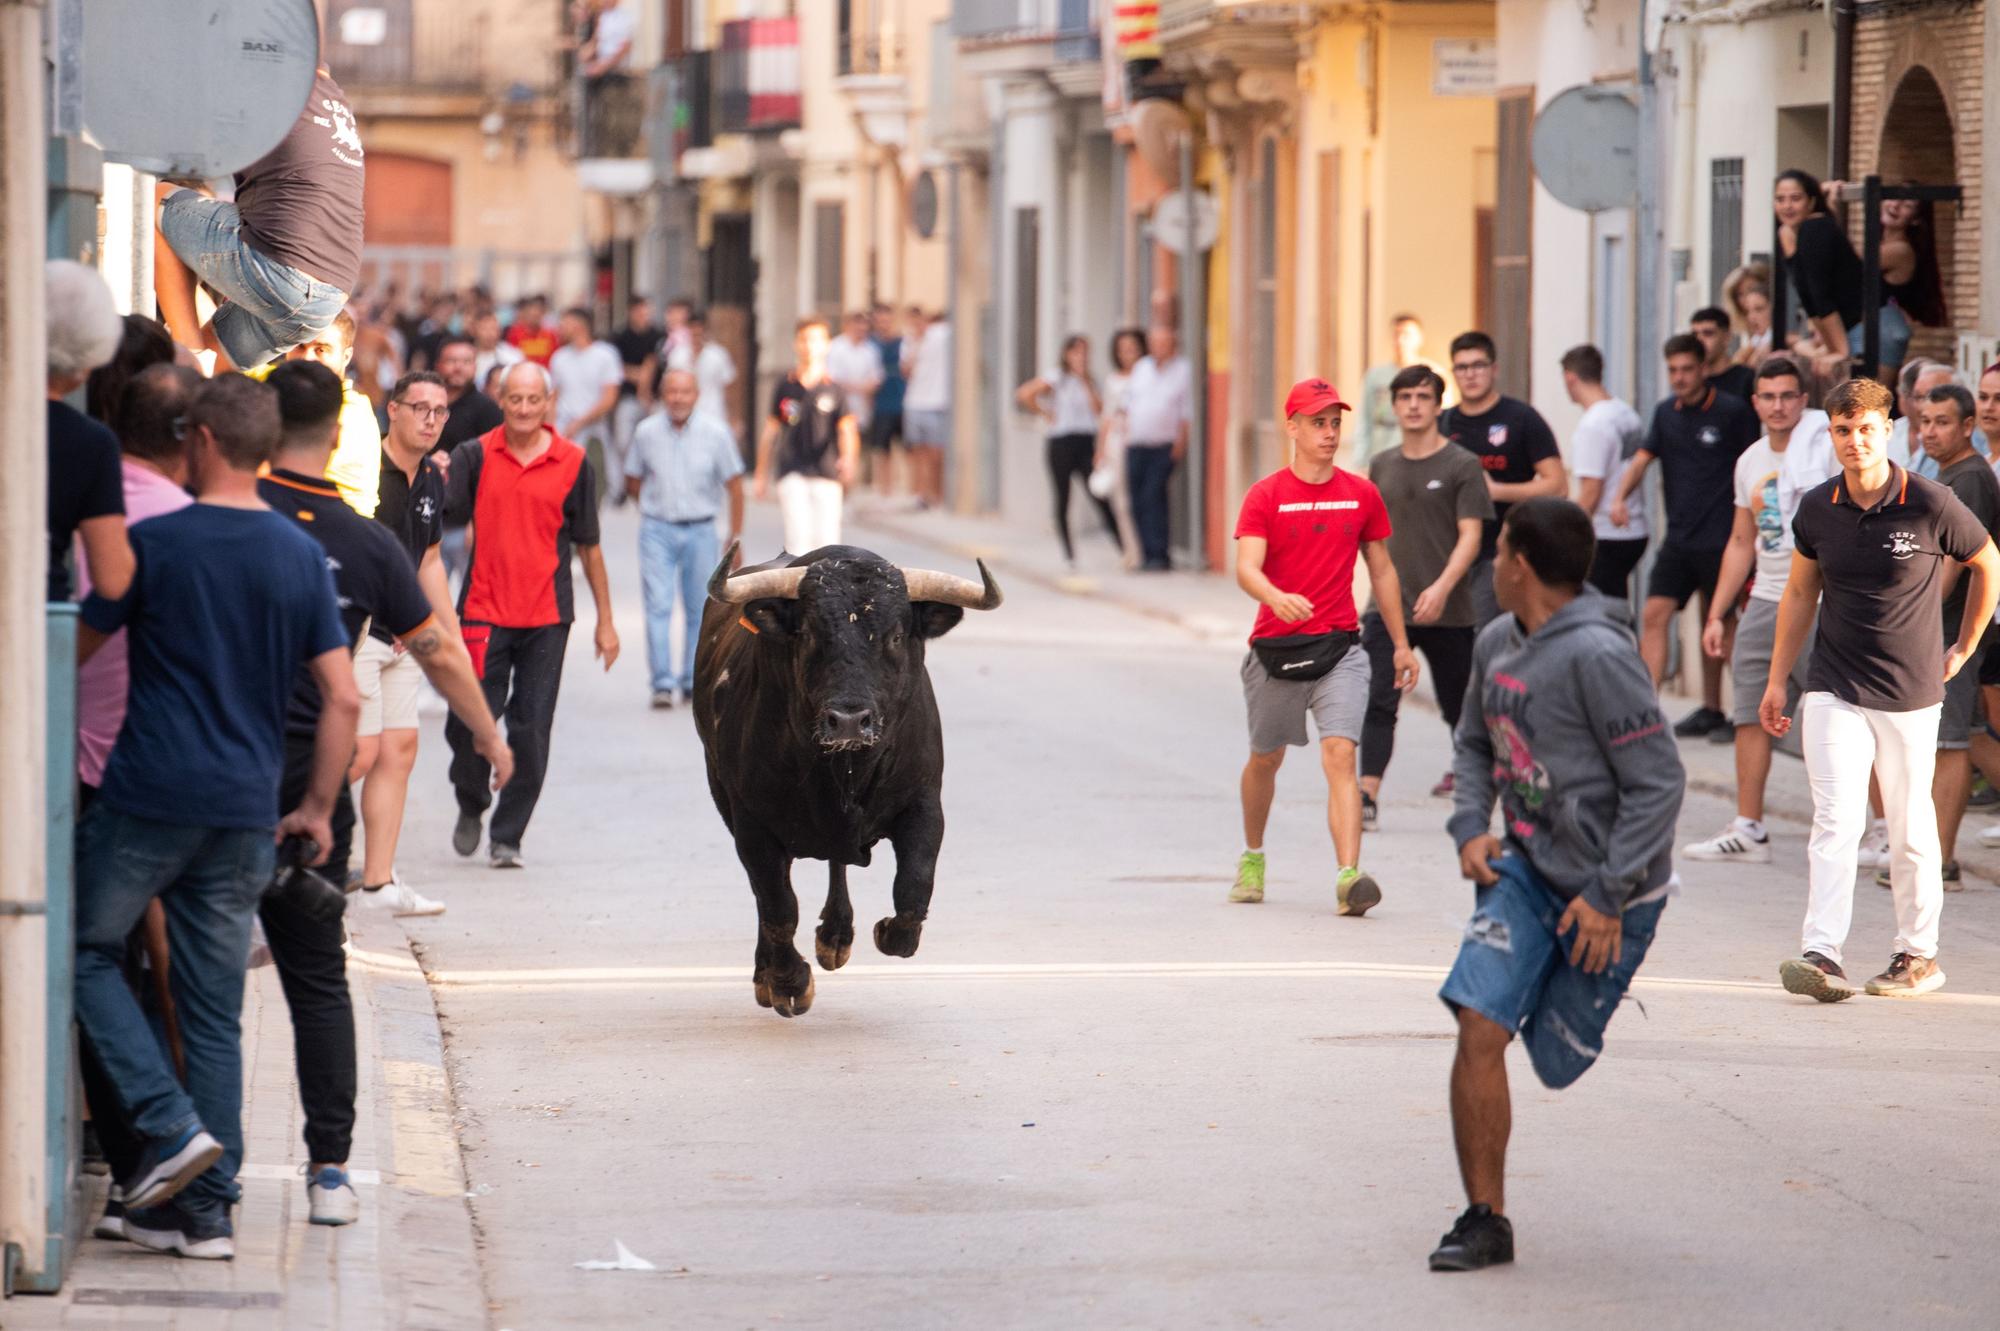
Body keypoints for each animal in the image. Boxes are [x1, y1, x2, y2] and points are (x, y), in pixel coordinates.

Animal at [692, 543, 1000, 1015]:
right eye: (809, 633)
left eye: (896, 636)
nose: (850, 721)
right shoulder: (752, 824)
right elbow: (778, 906)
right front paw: (788, 982)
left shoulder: (924, 804)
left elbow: (913, 891)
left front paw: (887, 932)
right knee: (770, 896)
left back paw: (835, 935)